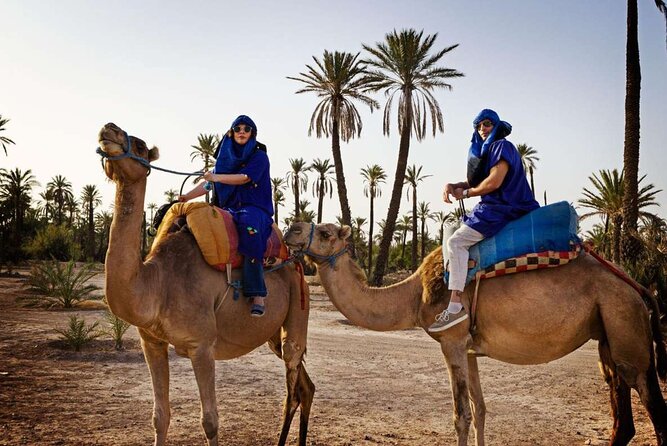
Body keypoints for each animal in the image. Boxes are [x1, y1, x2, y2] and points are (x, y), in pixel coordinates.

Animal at [97, 123, 316, 446]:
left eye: (139, 146)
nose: (108, 129)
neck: (158, 285)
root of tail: (297, 263)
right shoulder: (151, 342)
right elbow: (159, 417)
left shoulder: (201, 345)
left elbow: (210, 421)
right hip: (273, 335)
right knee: (306, 387)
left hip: (298, 307)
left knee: (293, 385)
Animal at [284, 222, 667, 446]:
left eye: (325, 233)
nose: (290, 228)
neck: (413, 295)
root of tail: (638, 289)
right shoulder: (469, 349)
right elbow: (480, 409)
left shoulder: (451, 341)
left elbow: (461, 416)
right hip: (608, 335)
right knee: (622, 416)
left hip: (626, 327)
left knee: (655, 411)